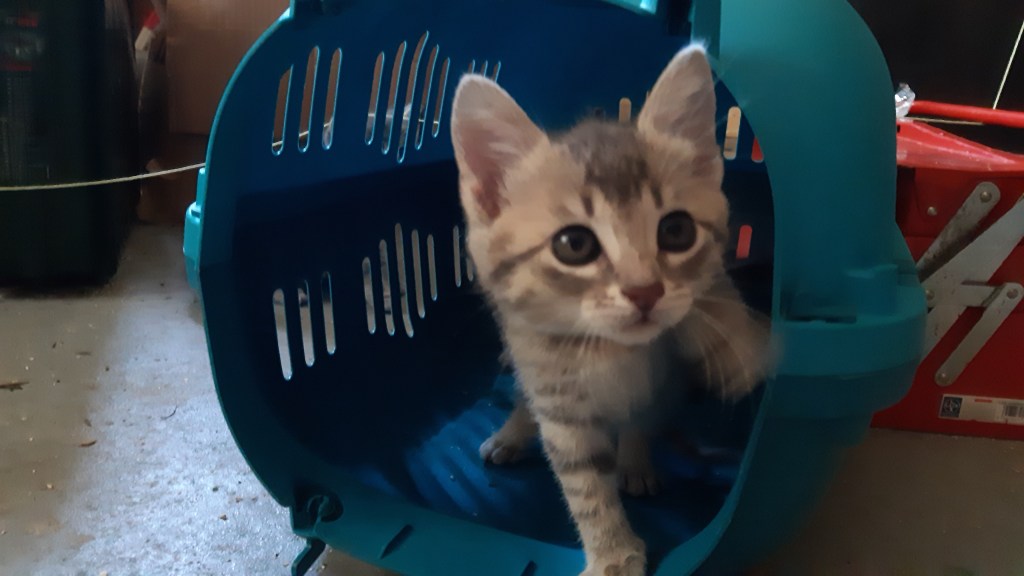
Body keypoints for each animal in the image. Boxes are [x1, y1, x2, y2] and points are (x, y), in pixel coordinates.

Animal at [450, 44, 771, 576]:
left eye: (677, 231)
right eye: (574, 244)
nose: (645, 291)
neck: (614, 351)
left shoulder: (667, 364)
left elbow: (707, 301)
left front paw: (737, 350)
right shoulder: (557, 396)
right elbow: (583, 483)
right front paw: (612, 553)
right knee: (525, 398)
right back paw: (511, 434)